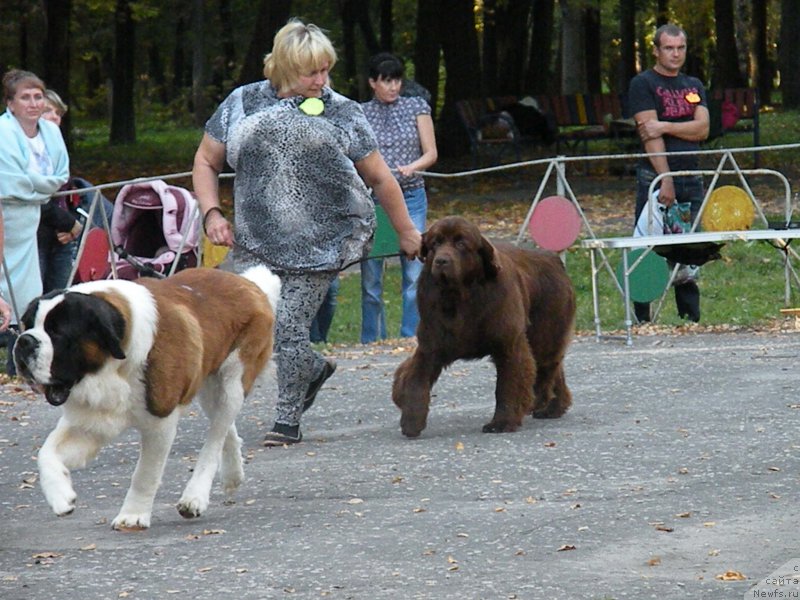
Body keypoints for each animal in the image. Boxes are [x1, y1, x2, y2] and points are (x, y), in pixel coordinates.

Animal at [12, 264, 282, 528]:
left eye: (58, 332)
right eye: (27, 325)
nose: (24, 341)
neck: (112, 364)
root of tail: (249, 284)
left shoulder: (160, 422)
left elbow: (145, 473)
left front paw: (133, 515)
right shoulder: (91, 421)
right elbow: (46, 452)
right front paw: (61, 498)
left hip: (233, 380)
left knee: (215, 437)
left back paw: (194, 497)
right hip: (207, 382)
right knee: (225, 428)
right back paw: (233, 475)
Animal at [392, 216, 576, 436]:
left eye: (461, 244)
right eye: (435, 244)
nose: (441, 261)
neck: (458, 296)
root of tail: (553, 259)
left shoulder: (509, 344)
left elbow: (507, 386)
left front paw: (502, 422)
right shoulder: (430, 345)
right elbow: (415, 379)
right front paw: (411, 421)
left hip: (545, 334)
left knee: (547, 367)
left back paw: (548, 405)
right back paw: (553, 408)